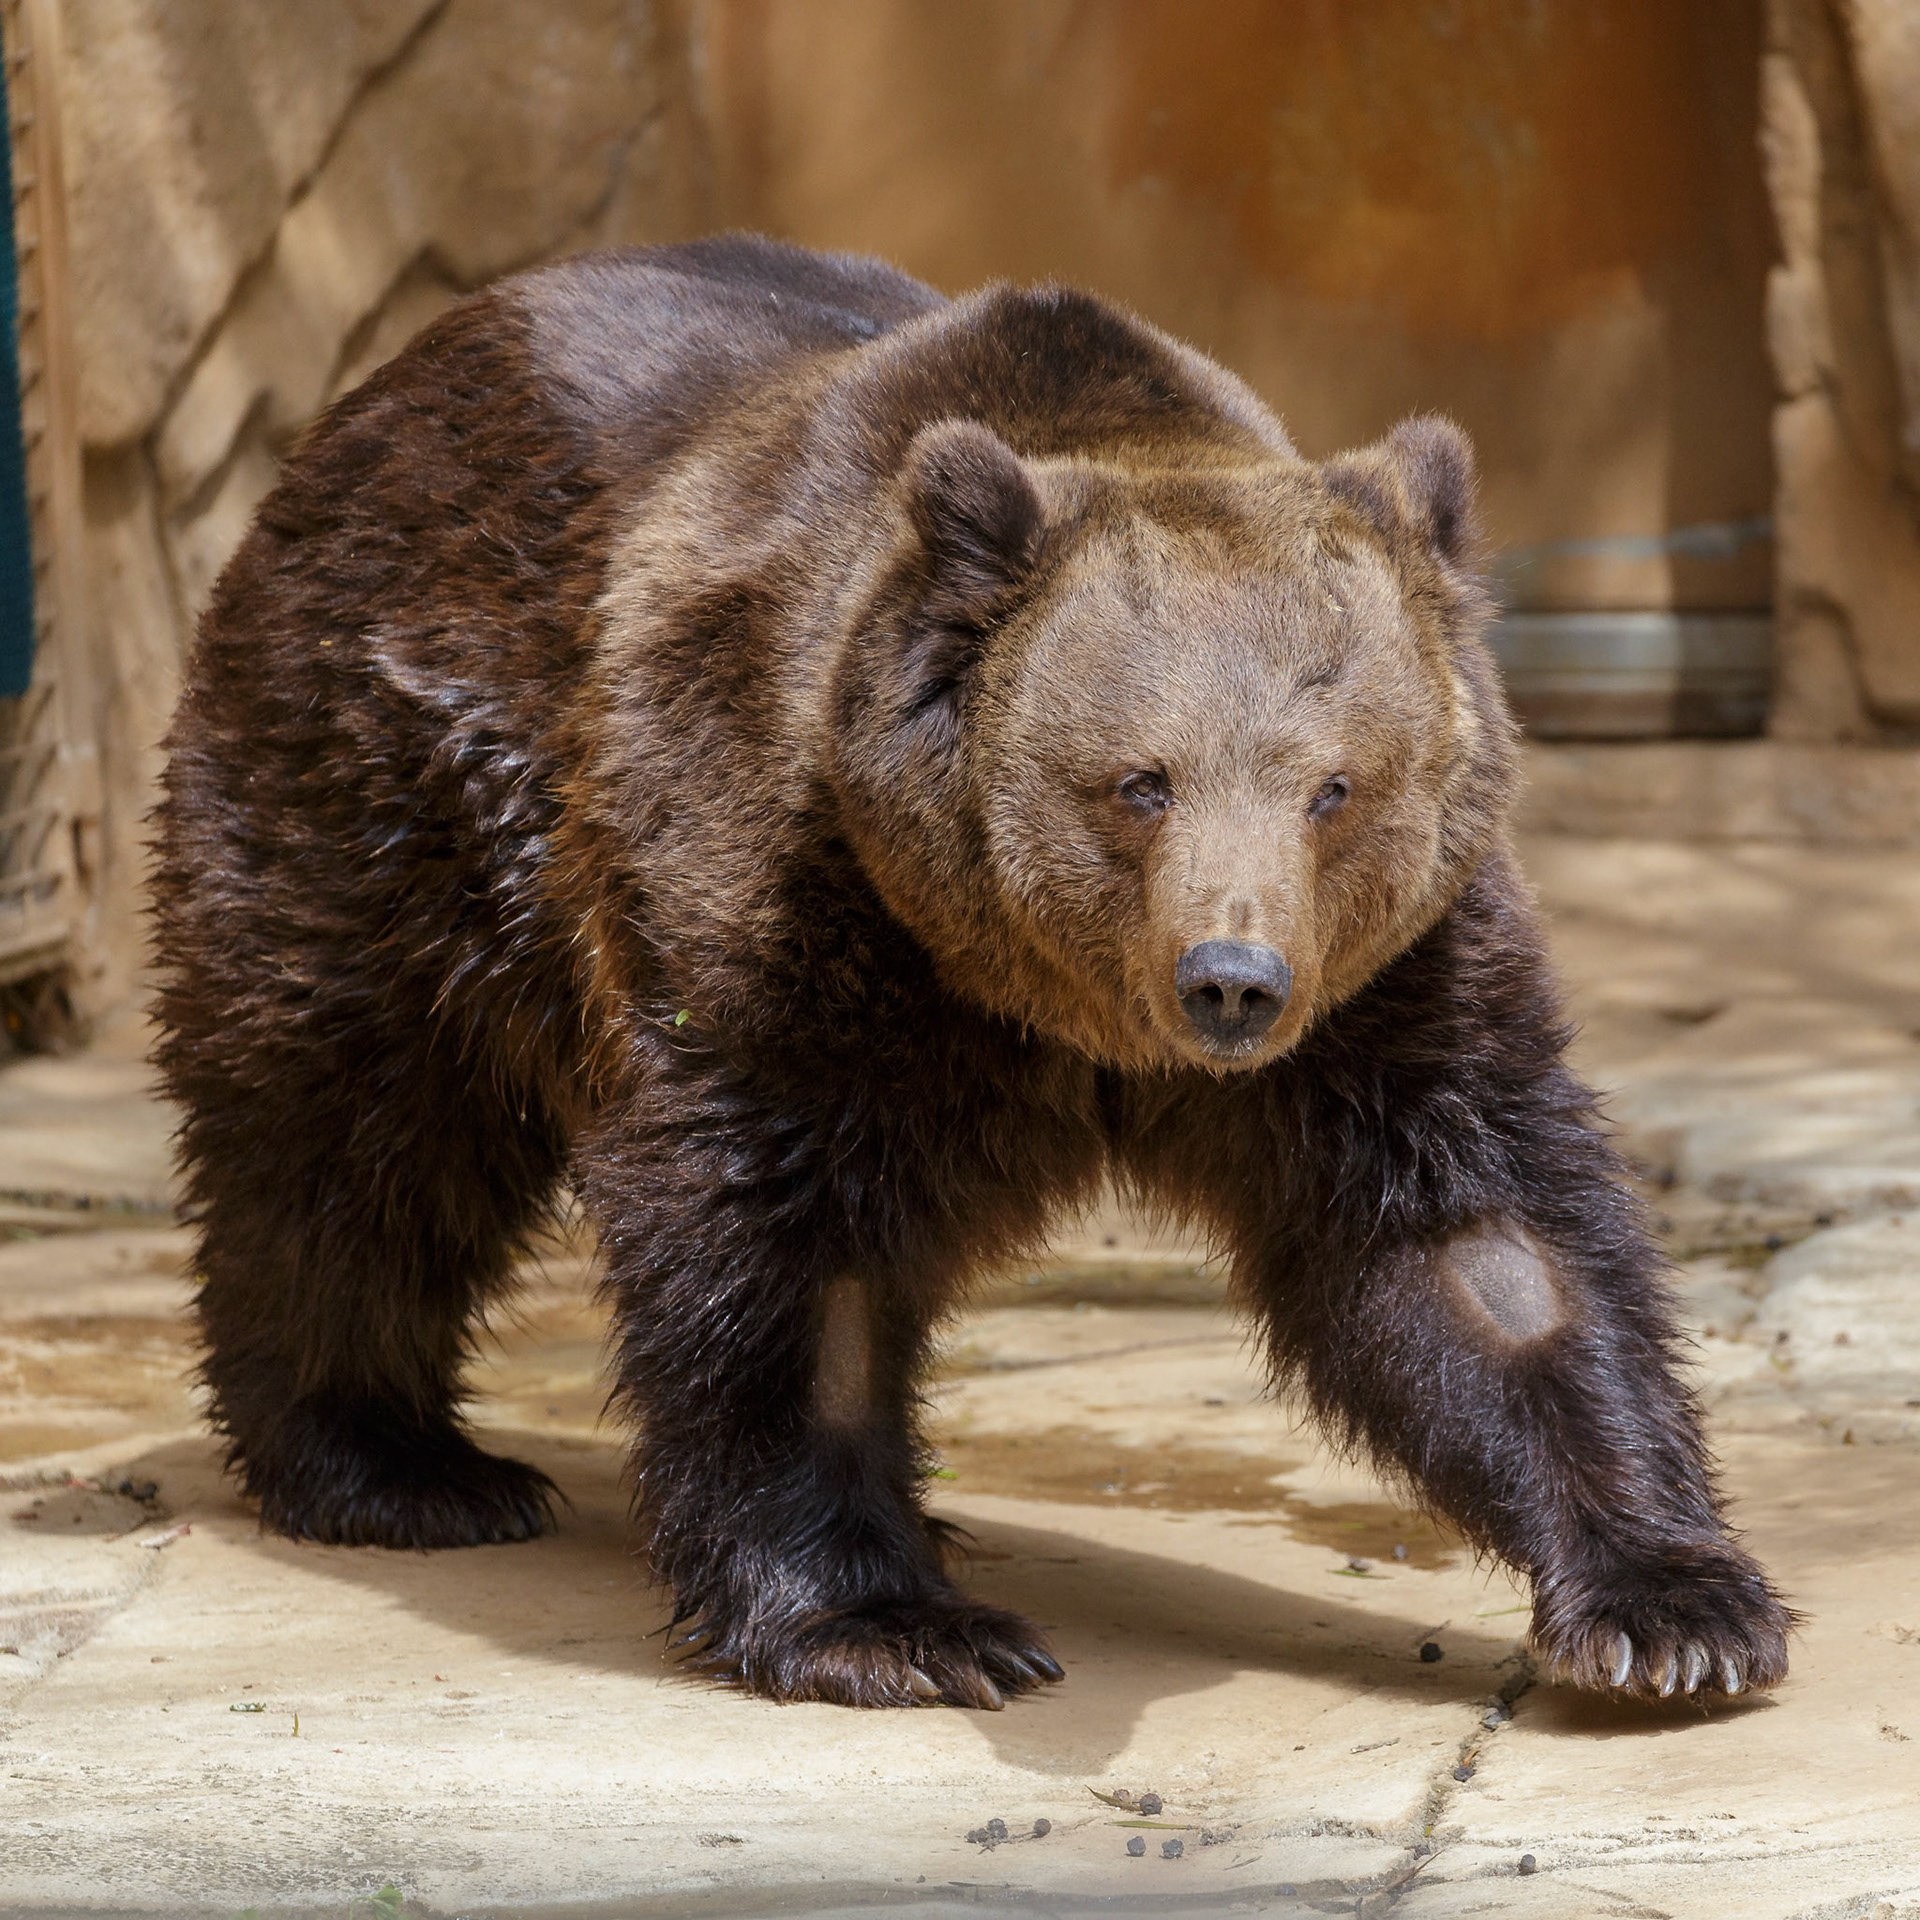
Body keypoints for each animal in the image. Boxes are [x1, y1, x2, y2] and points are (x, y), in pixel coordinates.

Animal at [150, 234, 1790, 1710]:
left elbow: (1486, 1245)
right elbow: (779, 1250)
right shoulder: (794, 904)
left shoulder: (1389, 989)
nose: (1233, 980)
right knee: (352, 1124)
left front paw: (1675, 1607)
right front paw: (897, 1626)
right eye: (1140, 780)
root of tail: (375, 397)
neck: (1045, 1005)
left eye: (1335, 786)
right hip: (397, 788)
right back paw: (398, 1462)